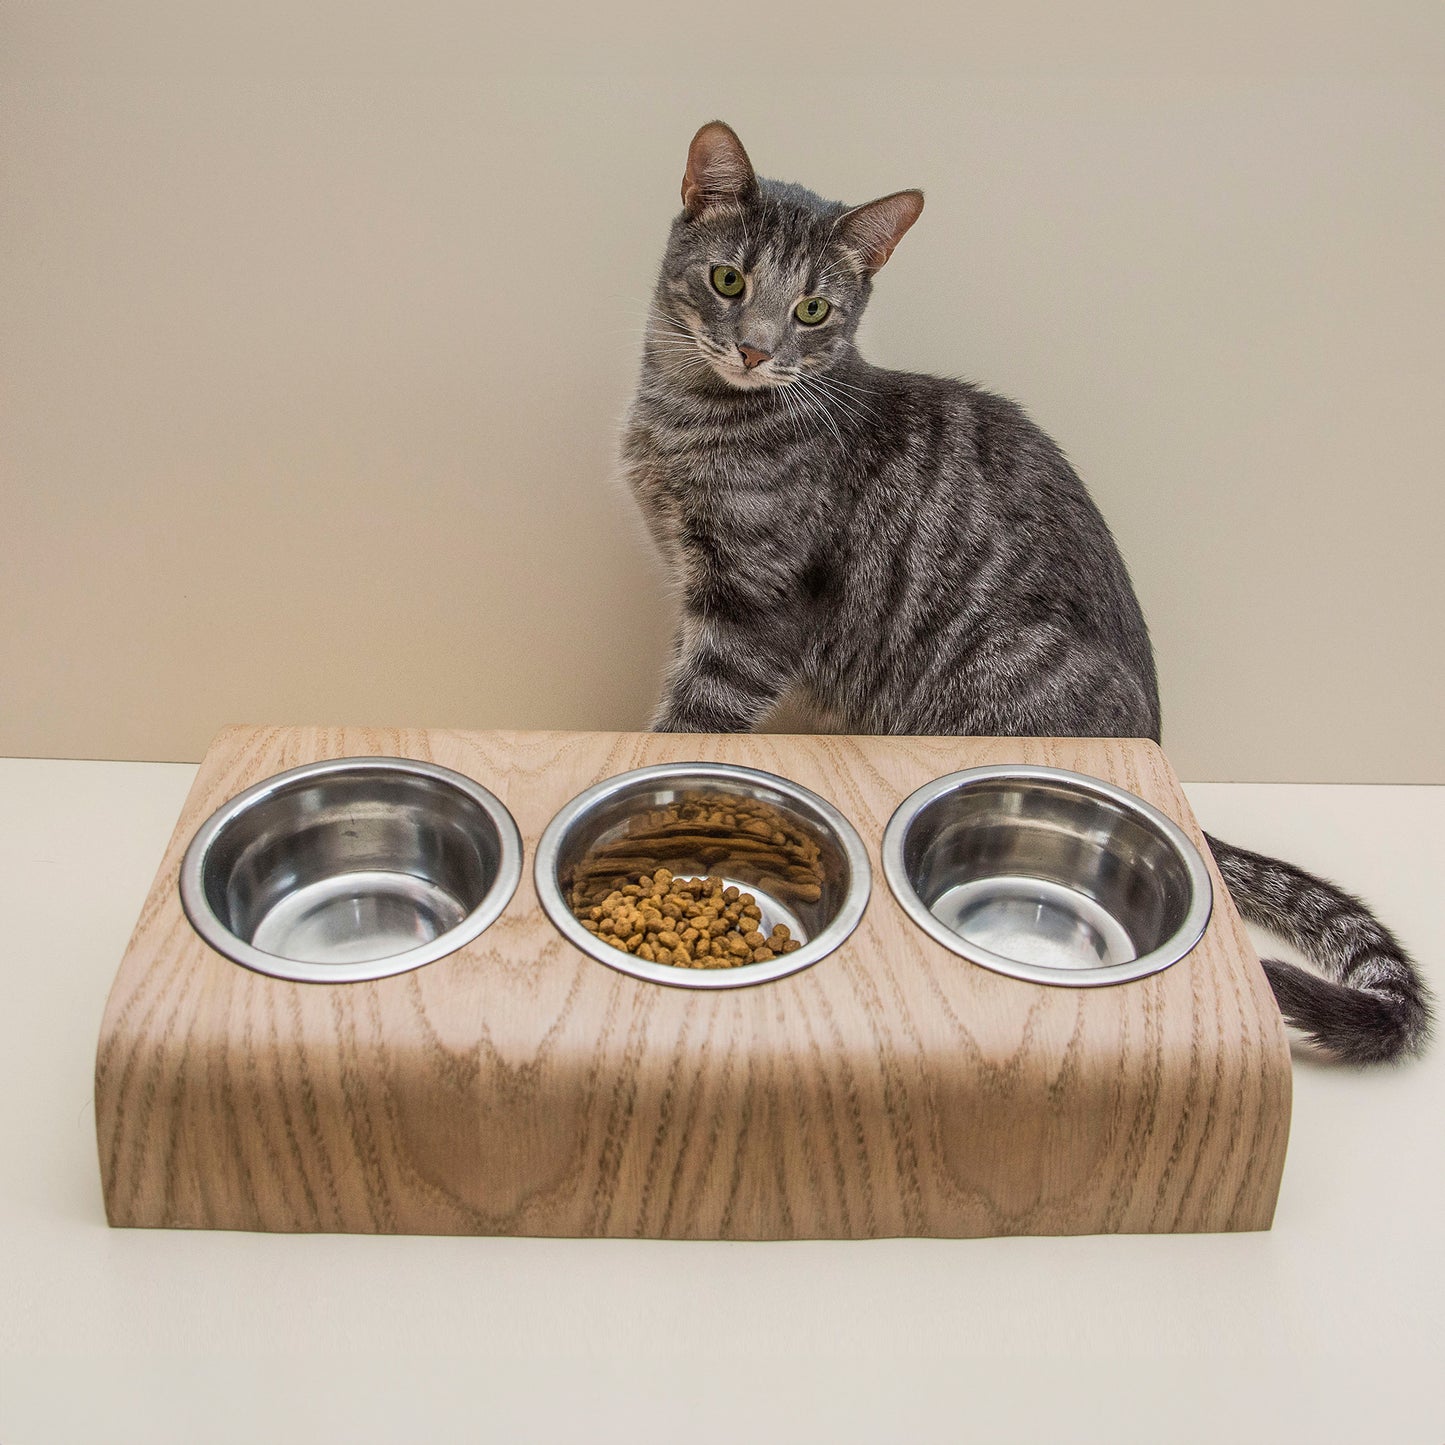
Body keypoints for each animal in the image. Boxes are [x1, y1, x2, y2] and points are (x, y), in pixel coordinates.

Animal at [624, 121, 1433, 1063]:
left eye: (812, 312)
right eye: (730, 281)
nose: (755, 348)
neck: (689, 420)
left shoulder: (751, 614)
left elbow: (688, 724)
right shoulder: (696, 599)